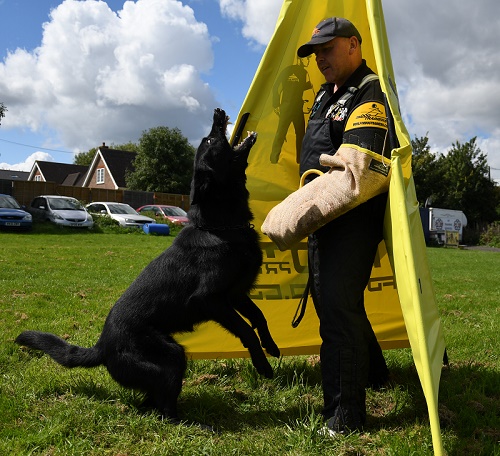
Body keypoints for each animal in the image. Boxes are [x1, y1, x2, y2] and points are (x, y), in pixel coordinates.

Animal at [15, 108, 280, 422]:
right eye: (209, 140)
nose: (218, 113)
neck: (222, 228)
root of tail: (102, 346)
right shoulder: (211, 300)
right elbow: (246, 329)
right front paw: (263, 366)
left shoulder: (237, 294)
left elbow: (260, 318)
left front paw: (272, 346)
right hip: (171, 355)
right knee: (163, 406)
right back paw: (188, 422)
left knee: (151, 402)